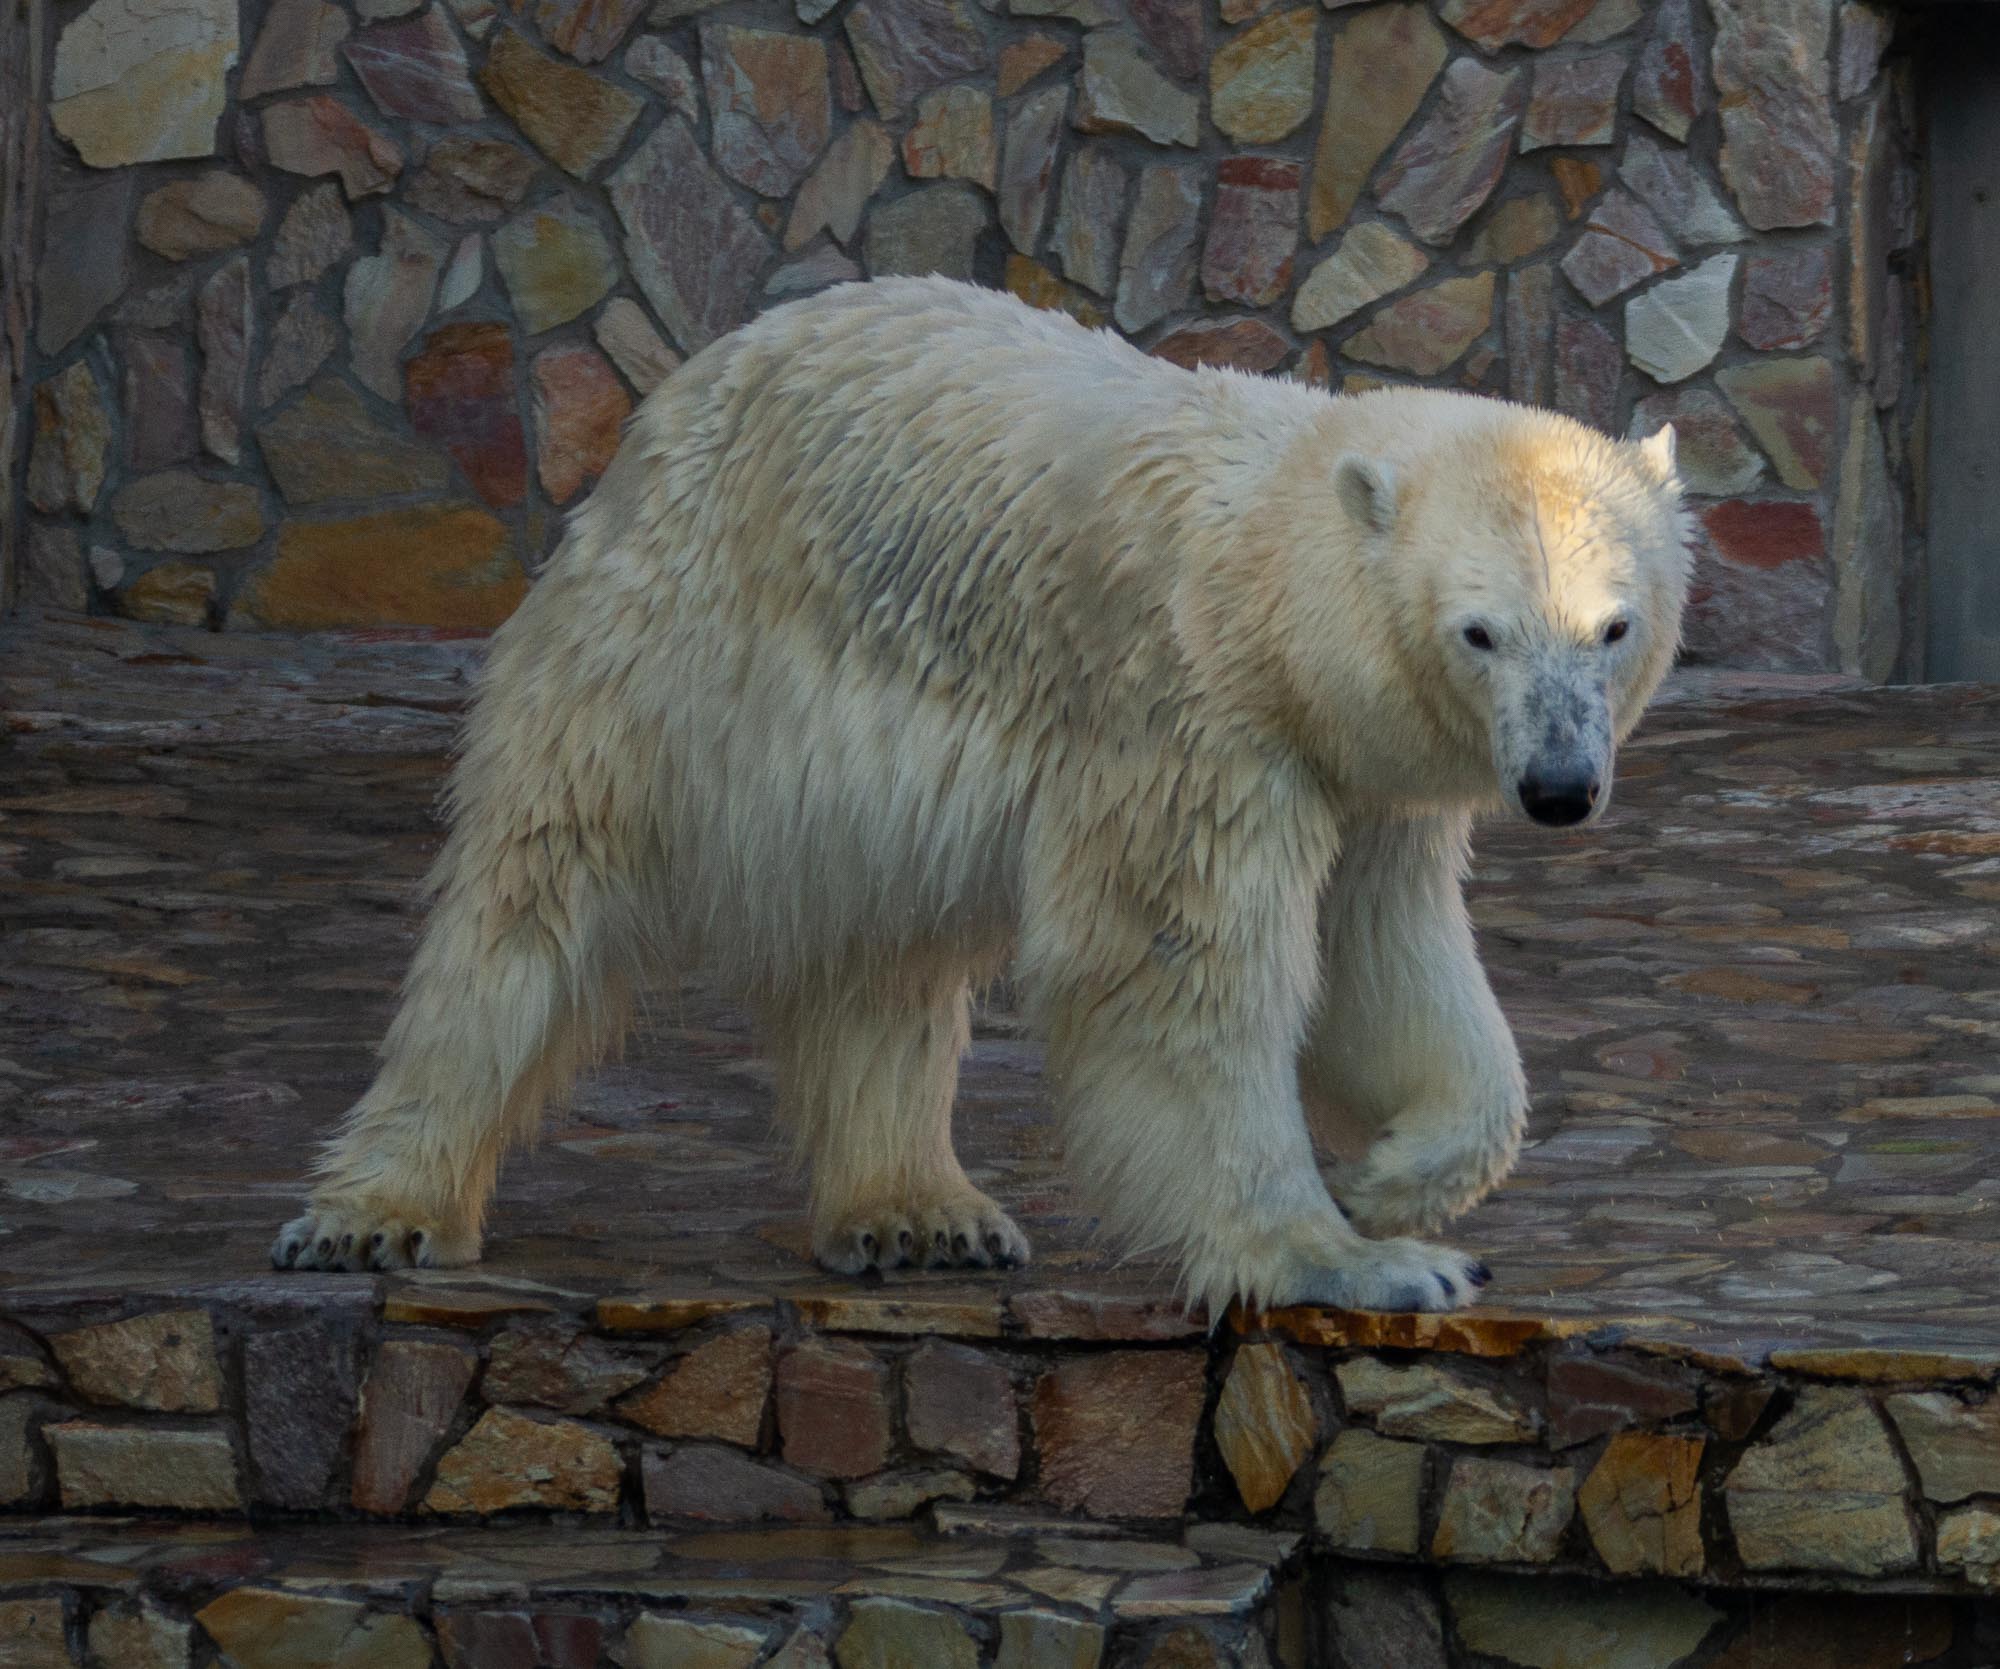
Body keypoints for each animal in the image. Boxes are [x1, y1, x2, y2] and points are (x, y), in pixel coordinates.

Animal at [270, 276, 1688, 1312]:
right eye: (1480, 632)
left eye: (1610, 627)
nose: (1559, 786)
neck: (1258, 587)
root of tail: (670, 399)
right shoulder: (1186, 720)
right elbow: (1176, 967)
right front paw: (1353, 1261)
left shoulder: (1355, 774)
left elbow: (1386, 959)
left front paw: (1399, 1180)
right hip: (668, 652)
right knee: (531, 901)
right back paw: (375, 1212)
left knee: (879, 963)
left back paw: (917, 1211)